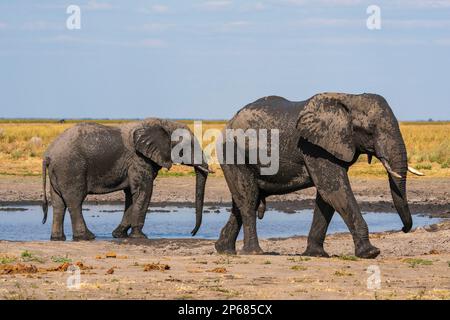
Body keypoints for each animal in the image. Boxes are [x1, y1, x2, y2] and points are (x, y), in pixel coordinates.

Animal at [41, 119, 210, 241]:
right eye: (188, 145)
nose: (192, 233)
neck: (163, 123)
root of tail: (48, 155)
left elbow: (131, 195)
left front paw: (119, 235)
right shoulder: (138, 159)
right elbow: (144, 191)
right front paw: (140, 237)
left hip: (59, 171)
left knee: (58, 203)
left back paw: (58, 238)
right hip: (71, 168)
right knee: (75, 201)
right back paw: (87, 237)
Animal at [216, 92, 424, 258]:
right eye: (370, 130)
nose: (403, 229)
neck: (350, 98)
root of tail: (229, 122)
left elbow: (327, 198)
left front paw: (316, 254)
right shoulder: (314, 147)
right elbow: (334, 191)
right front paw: (371, 253)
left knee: (241, 201)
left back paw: (224, 250)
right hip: (233, 153)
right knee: (248, 199)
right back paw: (254, 252)